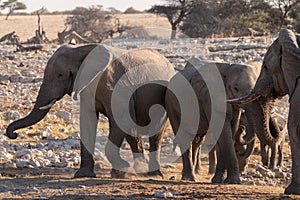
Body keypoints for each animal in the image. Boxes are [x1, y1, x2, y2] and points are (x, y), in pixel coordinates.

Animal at [5, 43, 176, 178]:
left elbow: (120, 120)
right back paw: (139, 170)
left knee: (155, 132)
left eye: (60, 75)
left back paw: (153, 174)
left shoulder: (116, 85)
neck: (80, 50)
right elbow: (88, 122)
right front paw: (83, 175)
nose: (14, 134)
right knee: (132, 133)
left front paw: (123, 170)